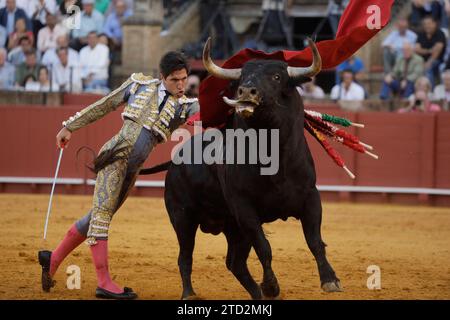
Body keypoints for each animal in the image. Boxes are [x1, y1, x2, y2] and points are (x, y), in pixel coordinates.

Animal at [141, 43, 342, 298]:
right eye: (242, 77)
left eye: (277, 77)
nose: (246, 91)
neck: (274, 158)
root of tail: (175, 161)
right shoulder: (244, 208)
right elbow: (264, 248)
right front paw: (271, 286)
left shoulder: (311, 198)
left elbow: (314, 241)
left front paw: (330, 280)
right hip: (182, 217)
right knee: (185, 256)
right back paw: (189, 293)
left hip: (232, 227)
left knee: (235, 262)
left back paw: (256, 294)